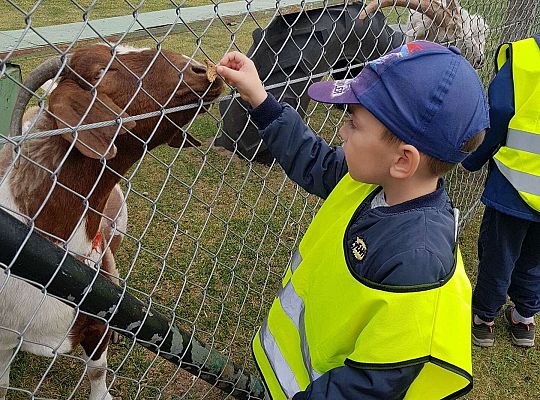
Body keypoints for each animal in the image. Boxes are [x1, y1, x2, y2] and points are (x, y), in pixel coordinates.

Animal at [0, 42, 224, 398]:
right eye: (102, 71)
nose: (200, 70)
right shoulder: (4, 340)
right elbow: (3, 383)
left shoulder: (97, 319)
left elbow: (97, 369)